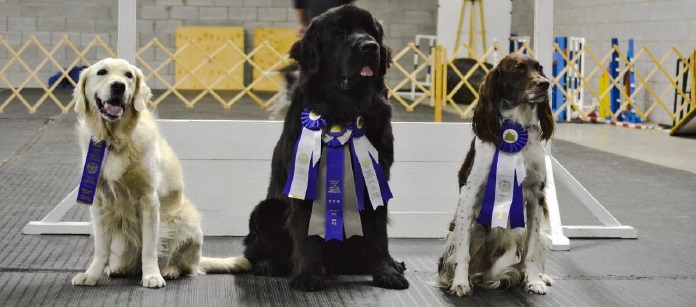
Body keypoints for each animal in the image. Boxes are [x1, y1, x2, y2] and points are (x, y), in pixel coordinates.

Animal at [239, 5, 408, 294]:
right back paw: (267, 265)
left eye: (372, 31)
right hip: (266, 208)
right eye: (339, 33)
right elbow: (306, 231)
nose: (370, 46)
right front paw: (307, 275)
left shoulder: (377, 177)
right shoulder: (306, 180)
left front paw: (386, 272)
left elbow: (378, 232)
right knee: (252, 251)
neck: (346, 109)